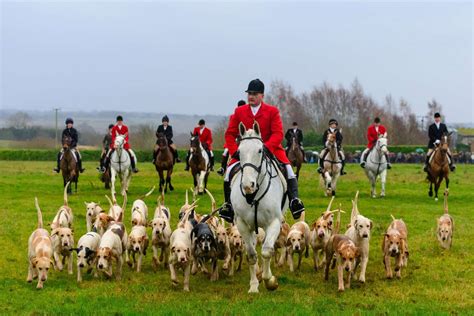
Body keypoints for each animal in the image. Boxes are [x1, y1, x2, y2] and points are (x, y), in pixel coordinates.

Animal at [231, 121, 286, 294]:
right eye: (239, 151)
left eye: (260, 150)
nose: (248, 185)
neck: (253, 196)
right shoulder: (242, 224)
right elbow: (251, 255)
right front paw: (254, 285)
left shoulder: (274, 222)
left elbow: (267, 251)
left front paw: (270, 281)